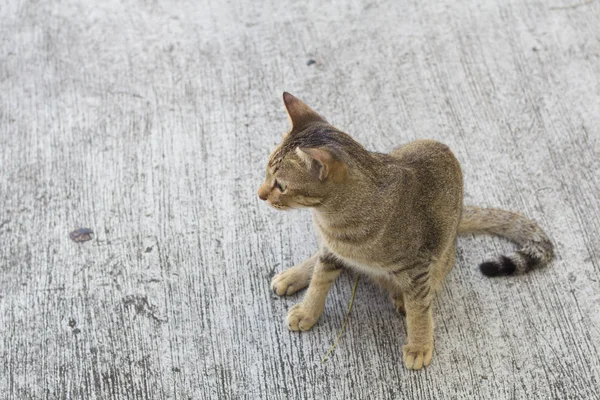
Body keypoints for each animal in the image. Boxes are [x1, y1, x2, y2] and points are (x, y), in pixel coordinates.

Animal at [256, 92, 552, 370]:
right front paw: (308, 311)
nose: (260, 194)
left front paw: (419, 345)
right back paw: (292, 276)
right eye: (266, 173)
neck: (332, 218)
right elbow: (319, 281)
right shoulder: (331, 250)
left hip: (440, 256)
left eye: (280, 185)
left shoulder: (417, 267)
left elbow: (419, 309)